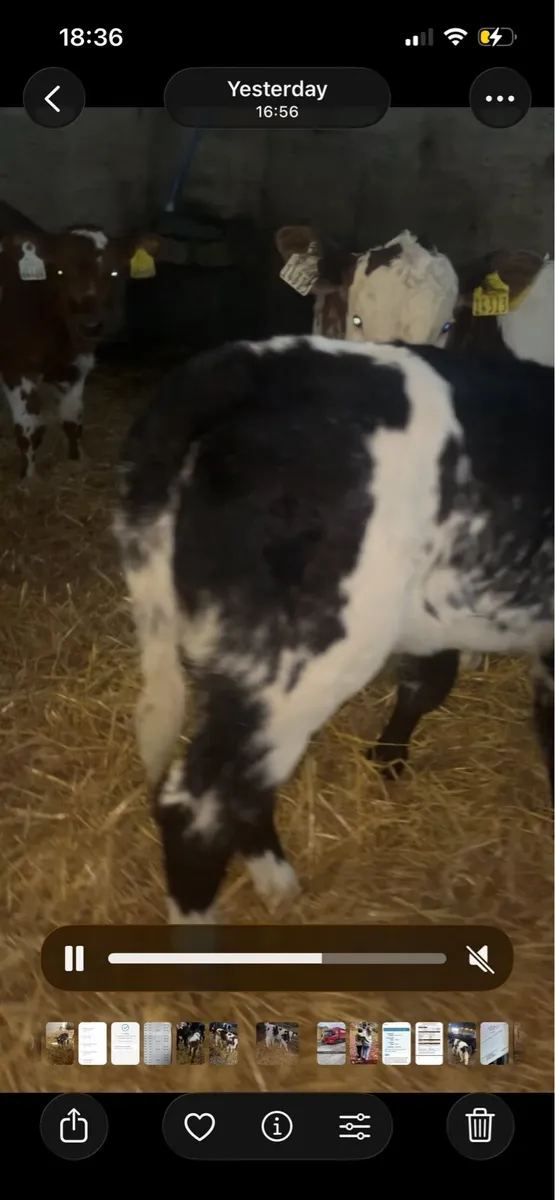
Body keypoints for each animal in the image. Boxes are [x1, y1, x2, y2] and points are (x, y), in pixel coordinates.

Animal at [0, 210, 159, 480]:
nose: (91, 325)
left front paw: (78, 462)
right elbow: (29, 428)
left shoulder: (78, 364)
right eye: (60, 272)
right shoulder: (16, 367)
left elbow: (72, 419)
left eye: (115, 273)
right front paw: (29, 479)